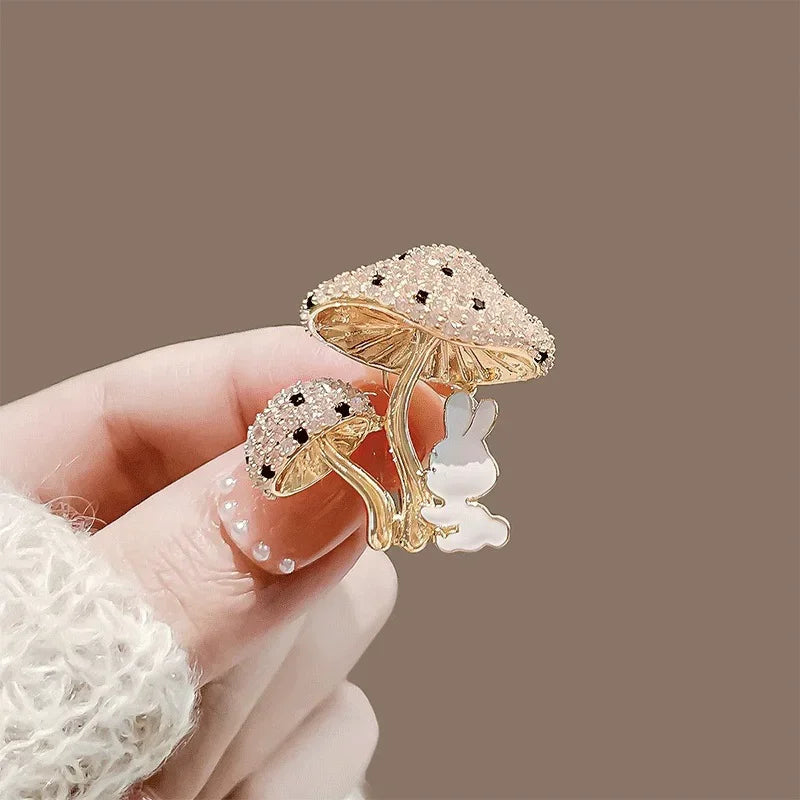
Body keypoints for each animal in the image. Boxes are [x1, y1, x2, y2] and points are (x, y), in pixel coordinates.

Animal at [421, 391, 510, 553]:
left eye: (435, 470)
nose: (427, 473)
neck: (458, 498)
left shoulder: (451, 510)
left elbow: (441, 515)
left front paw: (424, 510)